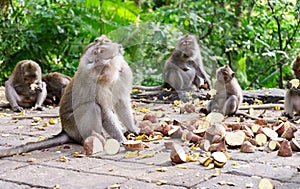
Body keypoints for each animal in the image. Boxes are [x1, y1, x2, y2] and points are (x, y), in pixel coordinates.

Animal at [0, 37, 139, 158]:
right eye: (94, 55)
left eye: (100, 51)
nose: (94, 62)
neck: (111, 76)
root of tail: (65, 130)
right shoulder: (96, 84)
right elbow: (104, 110)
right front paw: (121, 139)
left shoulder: (123, 73)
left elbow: (121, 102)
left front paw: (133, 129)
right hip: (75, 126)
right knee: (93, 107)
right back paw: (93, 139)